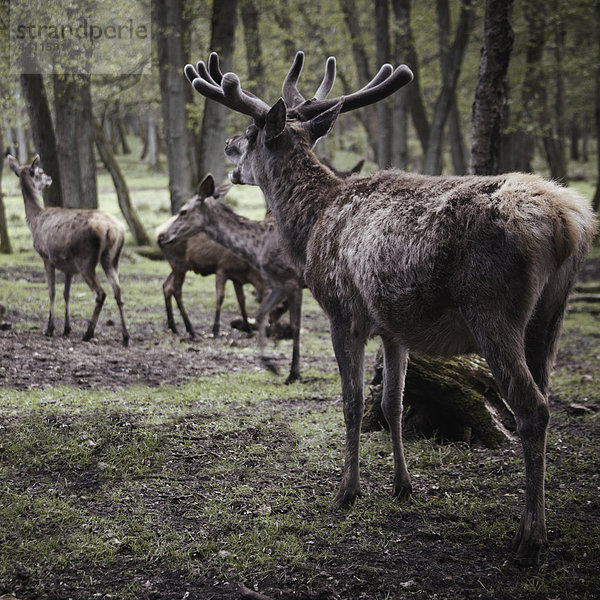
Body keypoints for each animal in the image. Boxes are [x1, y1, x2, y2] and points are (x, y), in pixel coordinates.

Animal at [7, 154, 130, 346]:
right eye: (40, 172)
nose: (50, 178)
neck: (34, 220)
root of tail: (114, 229)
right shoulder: (68, 268)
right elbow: (66, 294)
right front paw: (66, 328)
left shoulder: (46, 257)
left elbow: (52, 291)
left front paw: (50, 328)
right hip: (112, 258)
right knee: (118, 292)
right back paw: (125, 336)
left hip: (86, 259)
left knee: (101, 293)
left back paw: (88, 333)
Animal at [157, 178, 268, 338]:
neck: (248, 269)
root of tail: (158, 234)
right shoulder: (222, 268)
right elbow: (220, 297)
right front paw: (215, 329)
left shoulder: (237, 277)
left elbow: (241, 300)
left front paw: (247, 328)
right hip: (179, 264)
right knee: (175, 289)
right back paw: (190, 329)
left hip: (177, 265)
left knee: (166, 285)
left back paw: (173, 326)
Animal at [185, 49, 596, 564]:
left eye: (252, 132)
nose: (227, 146)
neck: (310, 227)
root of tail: (568, 221)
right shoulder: (395, 327)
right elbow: (391, 402)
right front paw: (403, 486)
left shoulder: (343, 311)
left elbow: (352, 399)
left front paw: (347, 491)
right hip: (550, 316)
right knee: (544, 396)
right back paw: (535, 523)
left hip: (491, 308)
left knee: (531, 407)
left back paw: (529, 538)